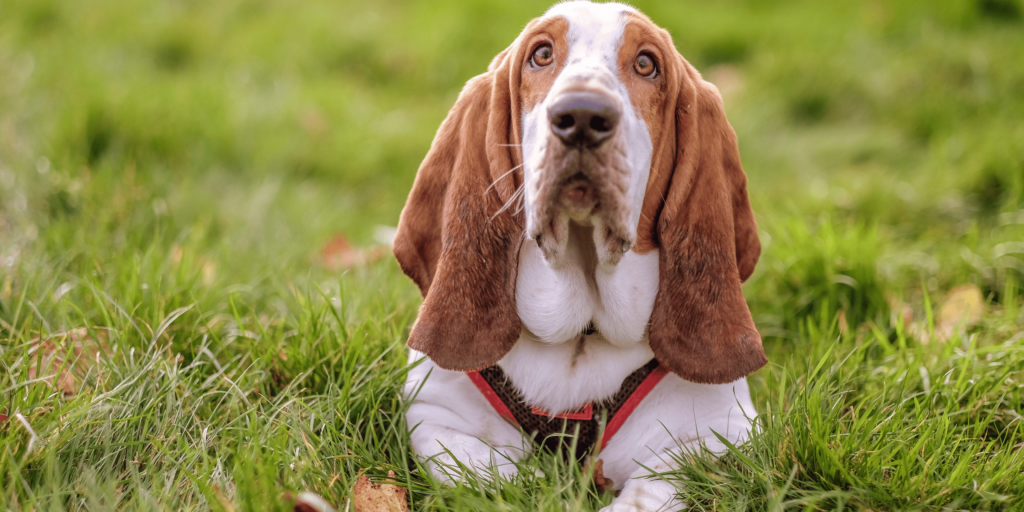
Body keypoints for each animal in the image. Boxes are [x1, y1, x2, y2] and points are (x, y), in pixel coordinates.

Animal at [395, 2, 765, 509]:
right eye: (541, 54)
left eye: (646, 64)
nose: (583, 115)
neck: (581, 336)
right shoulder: (436, 414)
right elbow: (492, 479)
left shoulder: (721, 430)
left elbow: (654, 488)